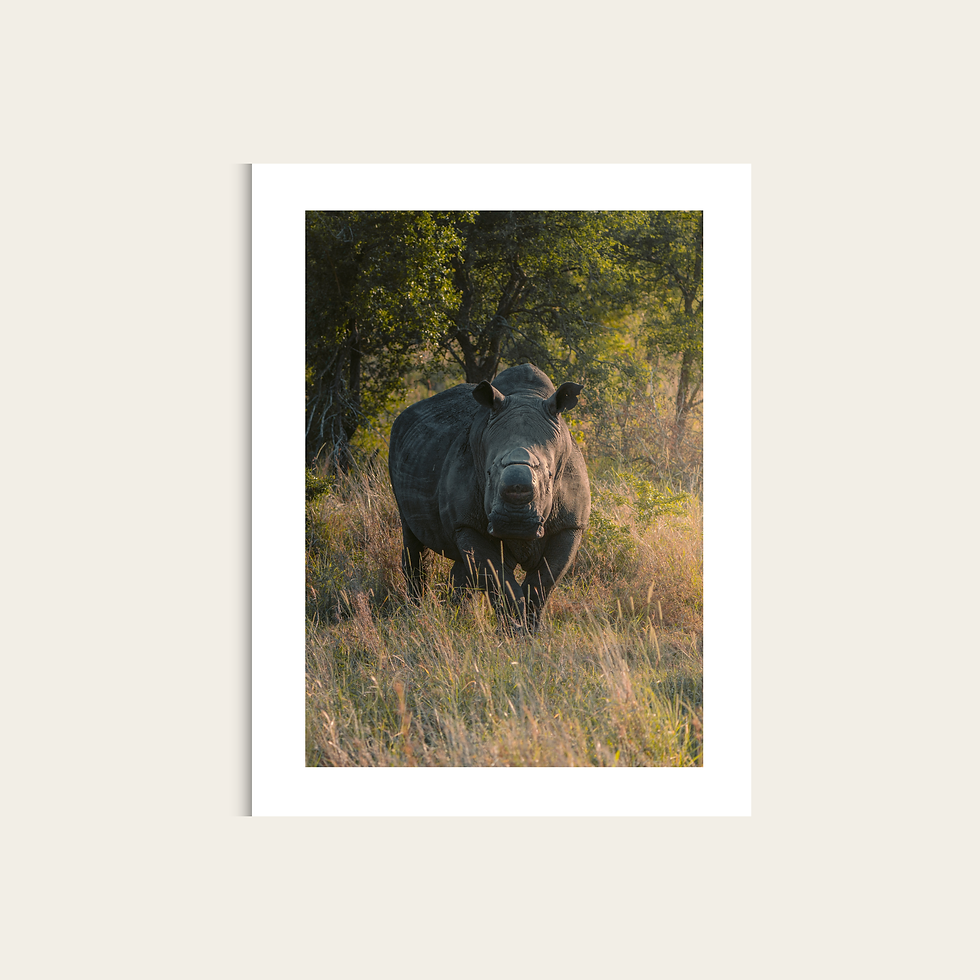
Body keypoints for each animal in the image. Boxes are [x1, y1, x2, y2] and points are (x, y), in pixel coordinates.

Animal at [388, 363, 591, 631]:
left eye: (549, 474)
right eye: (488, 472)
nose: (515, 521)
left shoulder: (570, 526)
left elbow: (542, 582)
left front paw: (530, 630)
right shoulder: (468, 524)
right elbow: (499, 582)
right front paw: (512, 630)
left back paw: (455, 616)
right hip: (398, 446)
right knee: (413, 541)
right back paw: (416, 612)